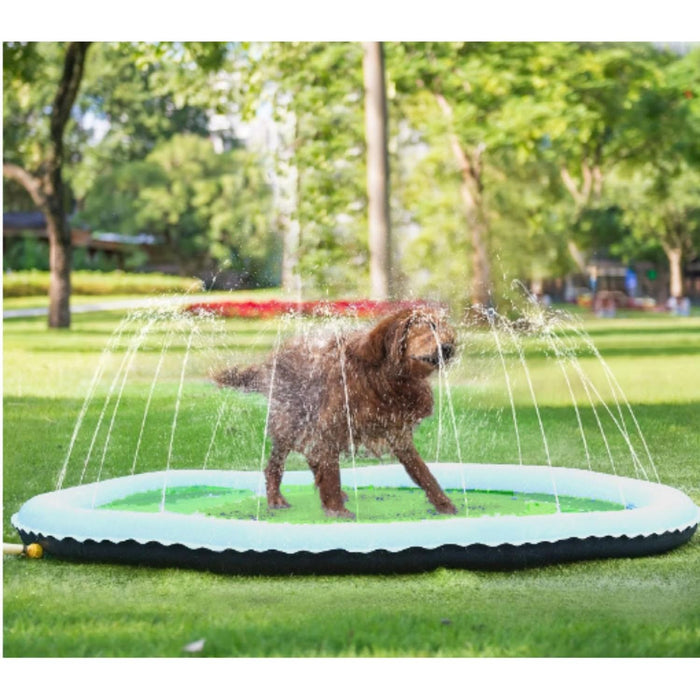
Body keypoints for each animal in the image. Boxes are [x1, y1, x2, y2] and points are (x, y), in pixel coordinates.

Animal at [213, 308, 460, 520]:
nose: (449, 348)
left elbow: (424, 473)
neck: (382, 375)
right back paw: (276, 500)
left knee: (312, 457)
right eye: (430, 327)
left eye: (447, 331)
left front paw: (444, 504)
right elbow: (332, 474)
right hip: (291, 423)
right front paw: (336, 511)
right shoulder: (330, 425)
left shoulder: (396, 433)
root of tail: (269, 361)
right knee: (274, 467)